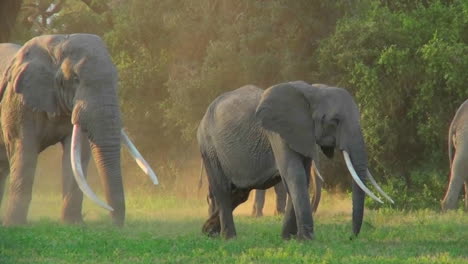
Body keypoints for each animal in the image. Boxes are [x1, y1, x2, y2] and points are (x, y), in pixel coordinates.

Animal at [0, 33, 158, 227]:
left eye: (116, 78)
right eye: (75, 79)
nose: (114, 225)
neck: (57, 45)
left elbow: (76, 154)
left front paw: (73, 224)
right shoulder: (17, 101)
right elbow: (24, 150)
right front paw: (14, 225)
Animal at [196, 82, 394, 239]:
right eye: (335, 121)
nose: (351, 237)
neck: (312, 91)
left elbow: (301, 178)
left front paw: (288, 238)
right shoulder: (277, 133)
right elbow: (294, 175)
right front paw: (306, 239)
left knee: (239, 192)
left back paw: (208, 231)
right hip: (209, 146)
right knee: (222, 189)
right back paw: (228, 237)